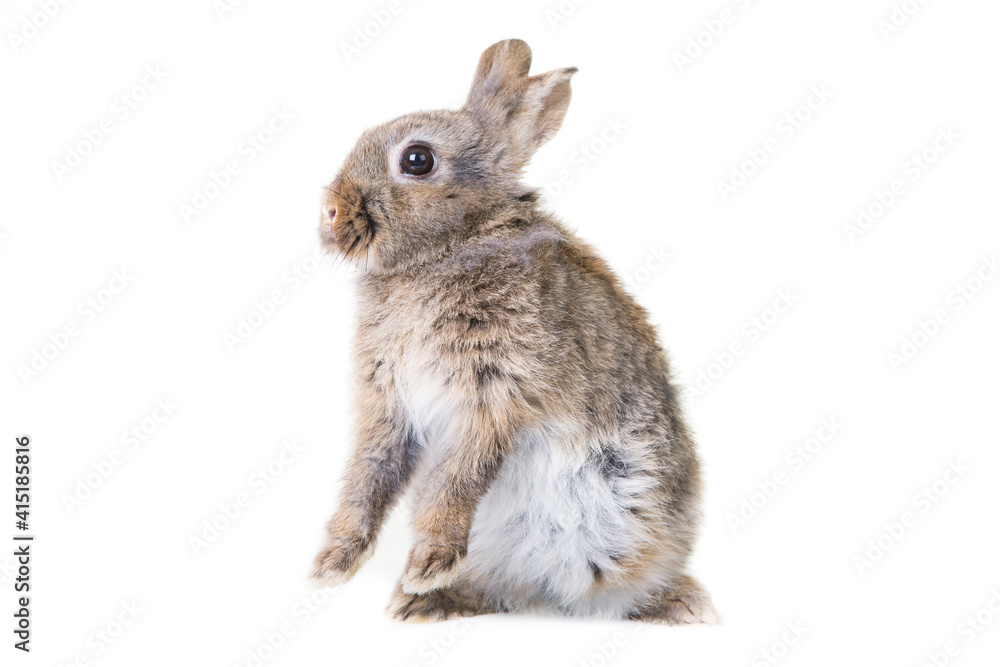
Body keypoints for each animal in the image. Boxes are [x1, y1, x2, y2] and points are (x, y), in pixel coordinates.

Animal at [311, 38, 718, 625]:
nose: (330, 212)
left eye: (417, 159)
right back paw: (426, 602)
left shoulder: (493, 391)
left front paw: (426, 563)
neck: (452, 245)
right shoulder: (387, 401)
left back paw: (682, 605)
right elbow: (370, 475)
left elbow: (457, 477)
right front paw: (332, 566)